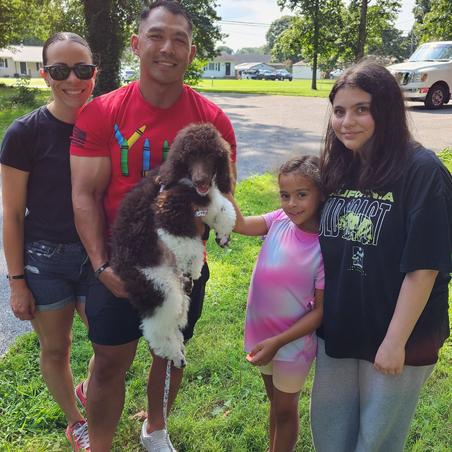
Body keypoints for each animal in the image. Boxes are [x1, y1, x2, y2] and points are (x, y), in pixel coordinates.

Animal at [111, 123, 236, 368]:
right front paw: (193, 266)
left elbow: (222, 206)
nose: (200, 180)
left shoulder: (202, 201)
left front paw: (223, 234)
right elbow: (188, 242)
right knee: (157, 328)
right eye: (190, 156)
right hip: (159, 286)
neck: (184, 181)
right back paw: (174, 354)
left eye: (212, 155)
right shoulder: (167, 209)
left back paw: (178, 348)